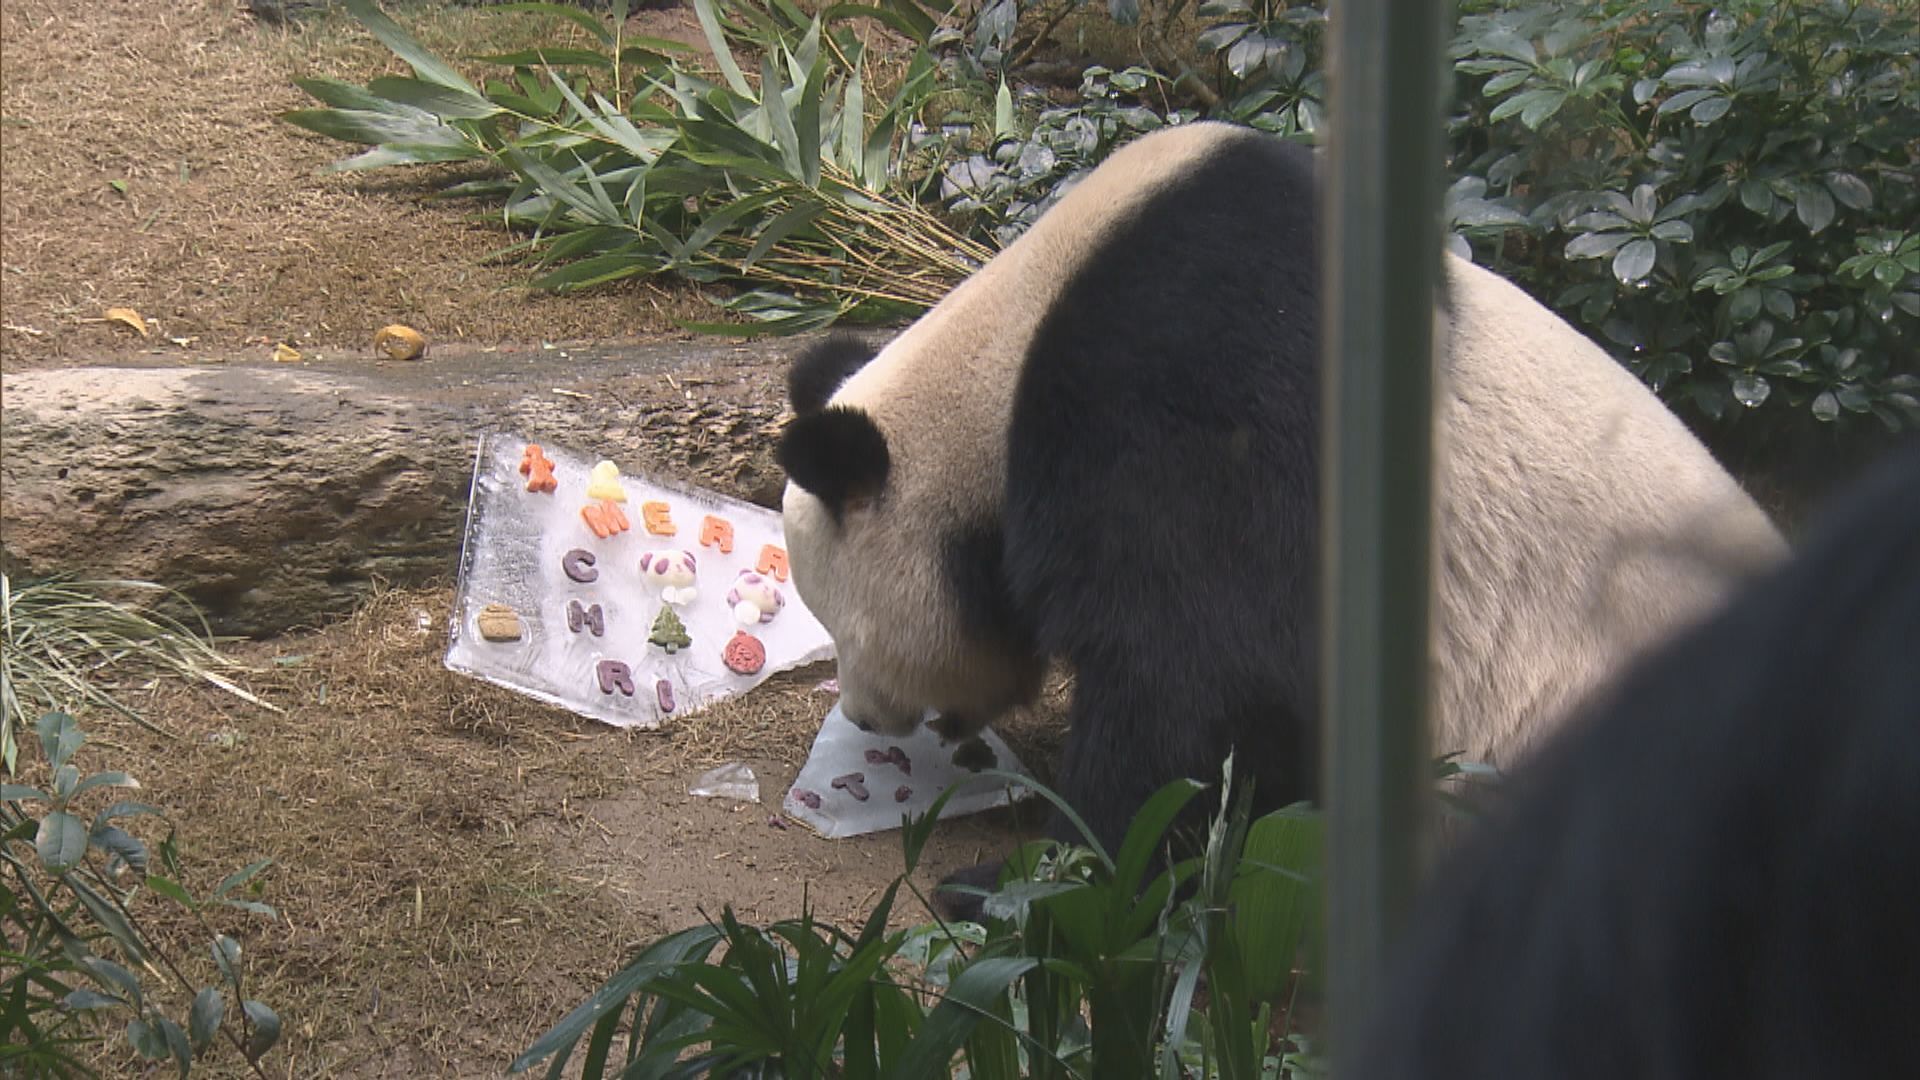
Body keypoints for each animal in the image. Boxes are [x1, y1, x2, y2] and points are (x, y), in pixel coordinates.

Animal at [771, 117, 1789, 907]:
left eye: (840, 621)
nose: (865, 715)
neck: (1003, 362)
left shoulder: (1184, 392)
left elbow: (1194, 678)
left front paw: (1034, 880)